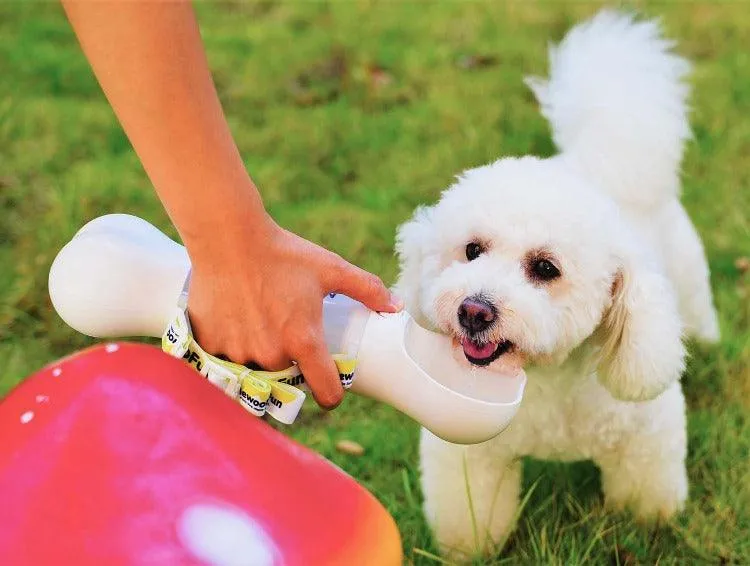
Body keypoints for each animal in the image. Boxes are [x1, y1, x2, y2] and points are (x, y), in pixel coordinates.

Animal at [396, 11, 720, 560]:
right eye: (472, 250)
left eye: (546, 268)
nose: (473, 311)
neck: (546, 375)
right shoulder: (471, 456)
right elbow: (469, 513)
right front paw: (467, 550)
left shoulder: (646, 435)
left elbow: (645, 497)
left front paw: (649, 530)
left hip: (688, 277)